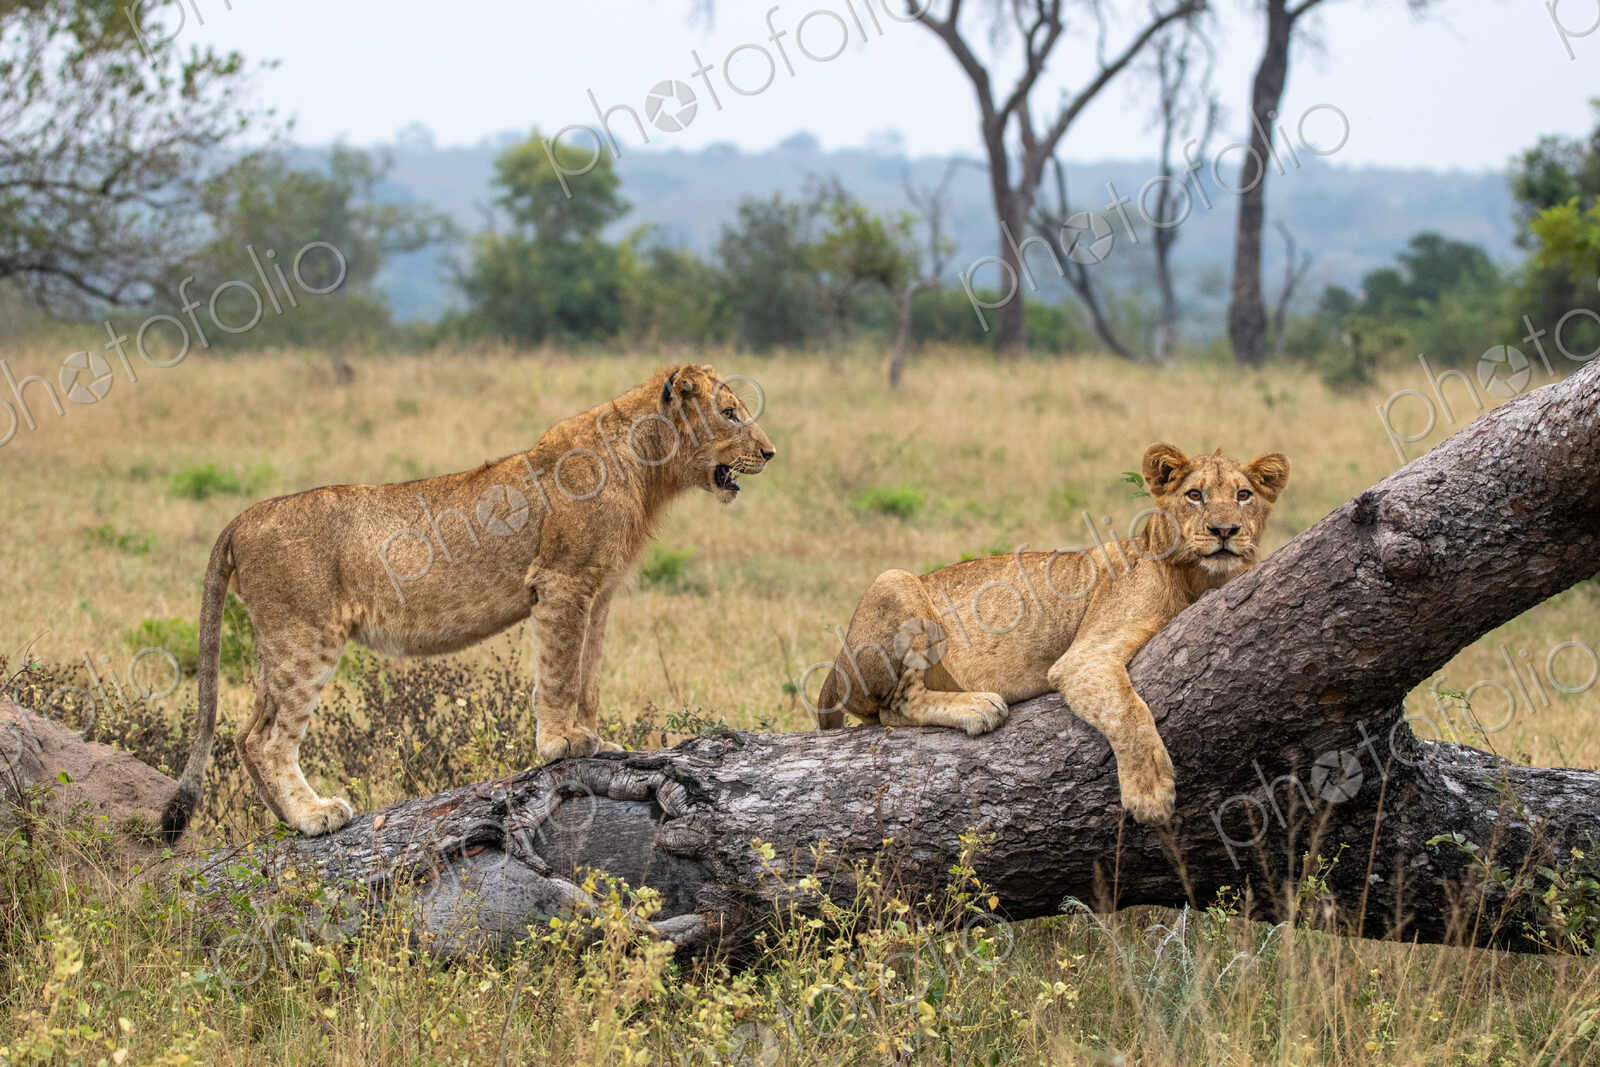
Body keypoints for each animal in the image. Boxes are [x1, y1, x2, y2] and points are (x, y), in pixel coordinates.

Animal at [160, 364, 775, 839]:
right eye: (730, 414)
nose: (770, 453)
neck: (649, 469)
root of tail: (243, 518)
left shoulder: (599, 593)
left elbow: (589, 675)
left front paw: (596, 740)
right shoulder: (561, 584)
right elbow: (559, 672)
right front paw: (559, 743)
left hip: (282, 641)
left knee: (246, 736)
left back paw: (287, 821)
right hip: (305, 638)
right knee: (267, 739)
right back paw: (314, 817)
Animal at [815, 443, 1289, 825]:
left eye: (1243, 496)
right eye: (1195, 495)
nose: (1225, 531)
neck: (1200, 578)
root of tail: (834, 672)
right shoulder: (1083, 657)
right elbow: (1128, 710)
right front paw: (1151, 795)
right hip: (894, 581)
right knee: (894, 707)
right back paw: (978, 707)